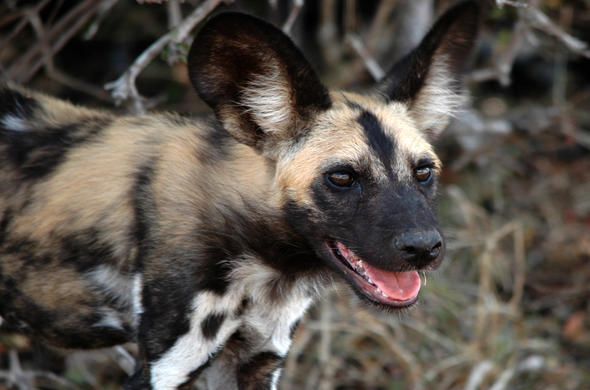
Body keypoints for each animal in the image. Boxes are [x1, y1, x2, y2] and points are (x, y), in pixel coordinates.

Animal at [0, 1, 480, 388]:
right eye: (342, 178)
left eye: (423, 172)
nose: (423, 248)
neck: (261, 258)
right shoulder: (164, 364)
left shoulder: (256, 358)